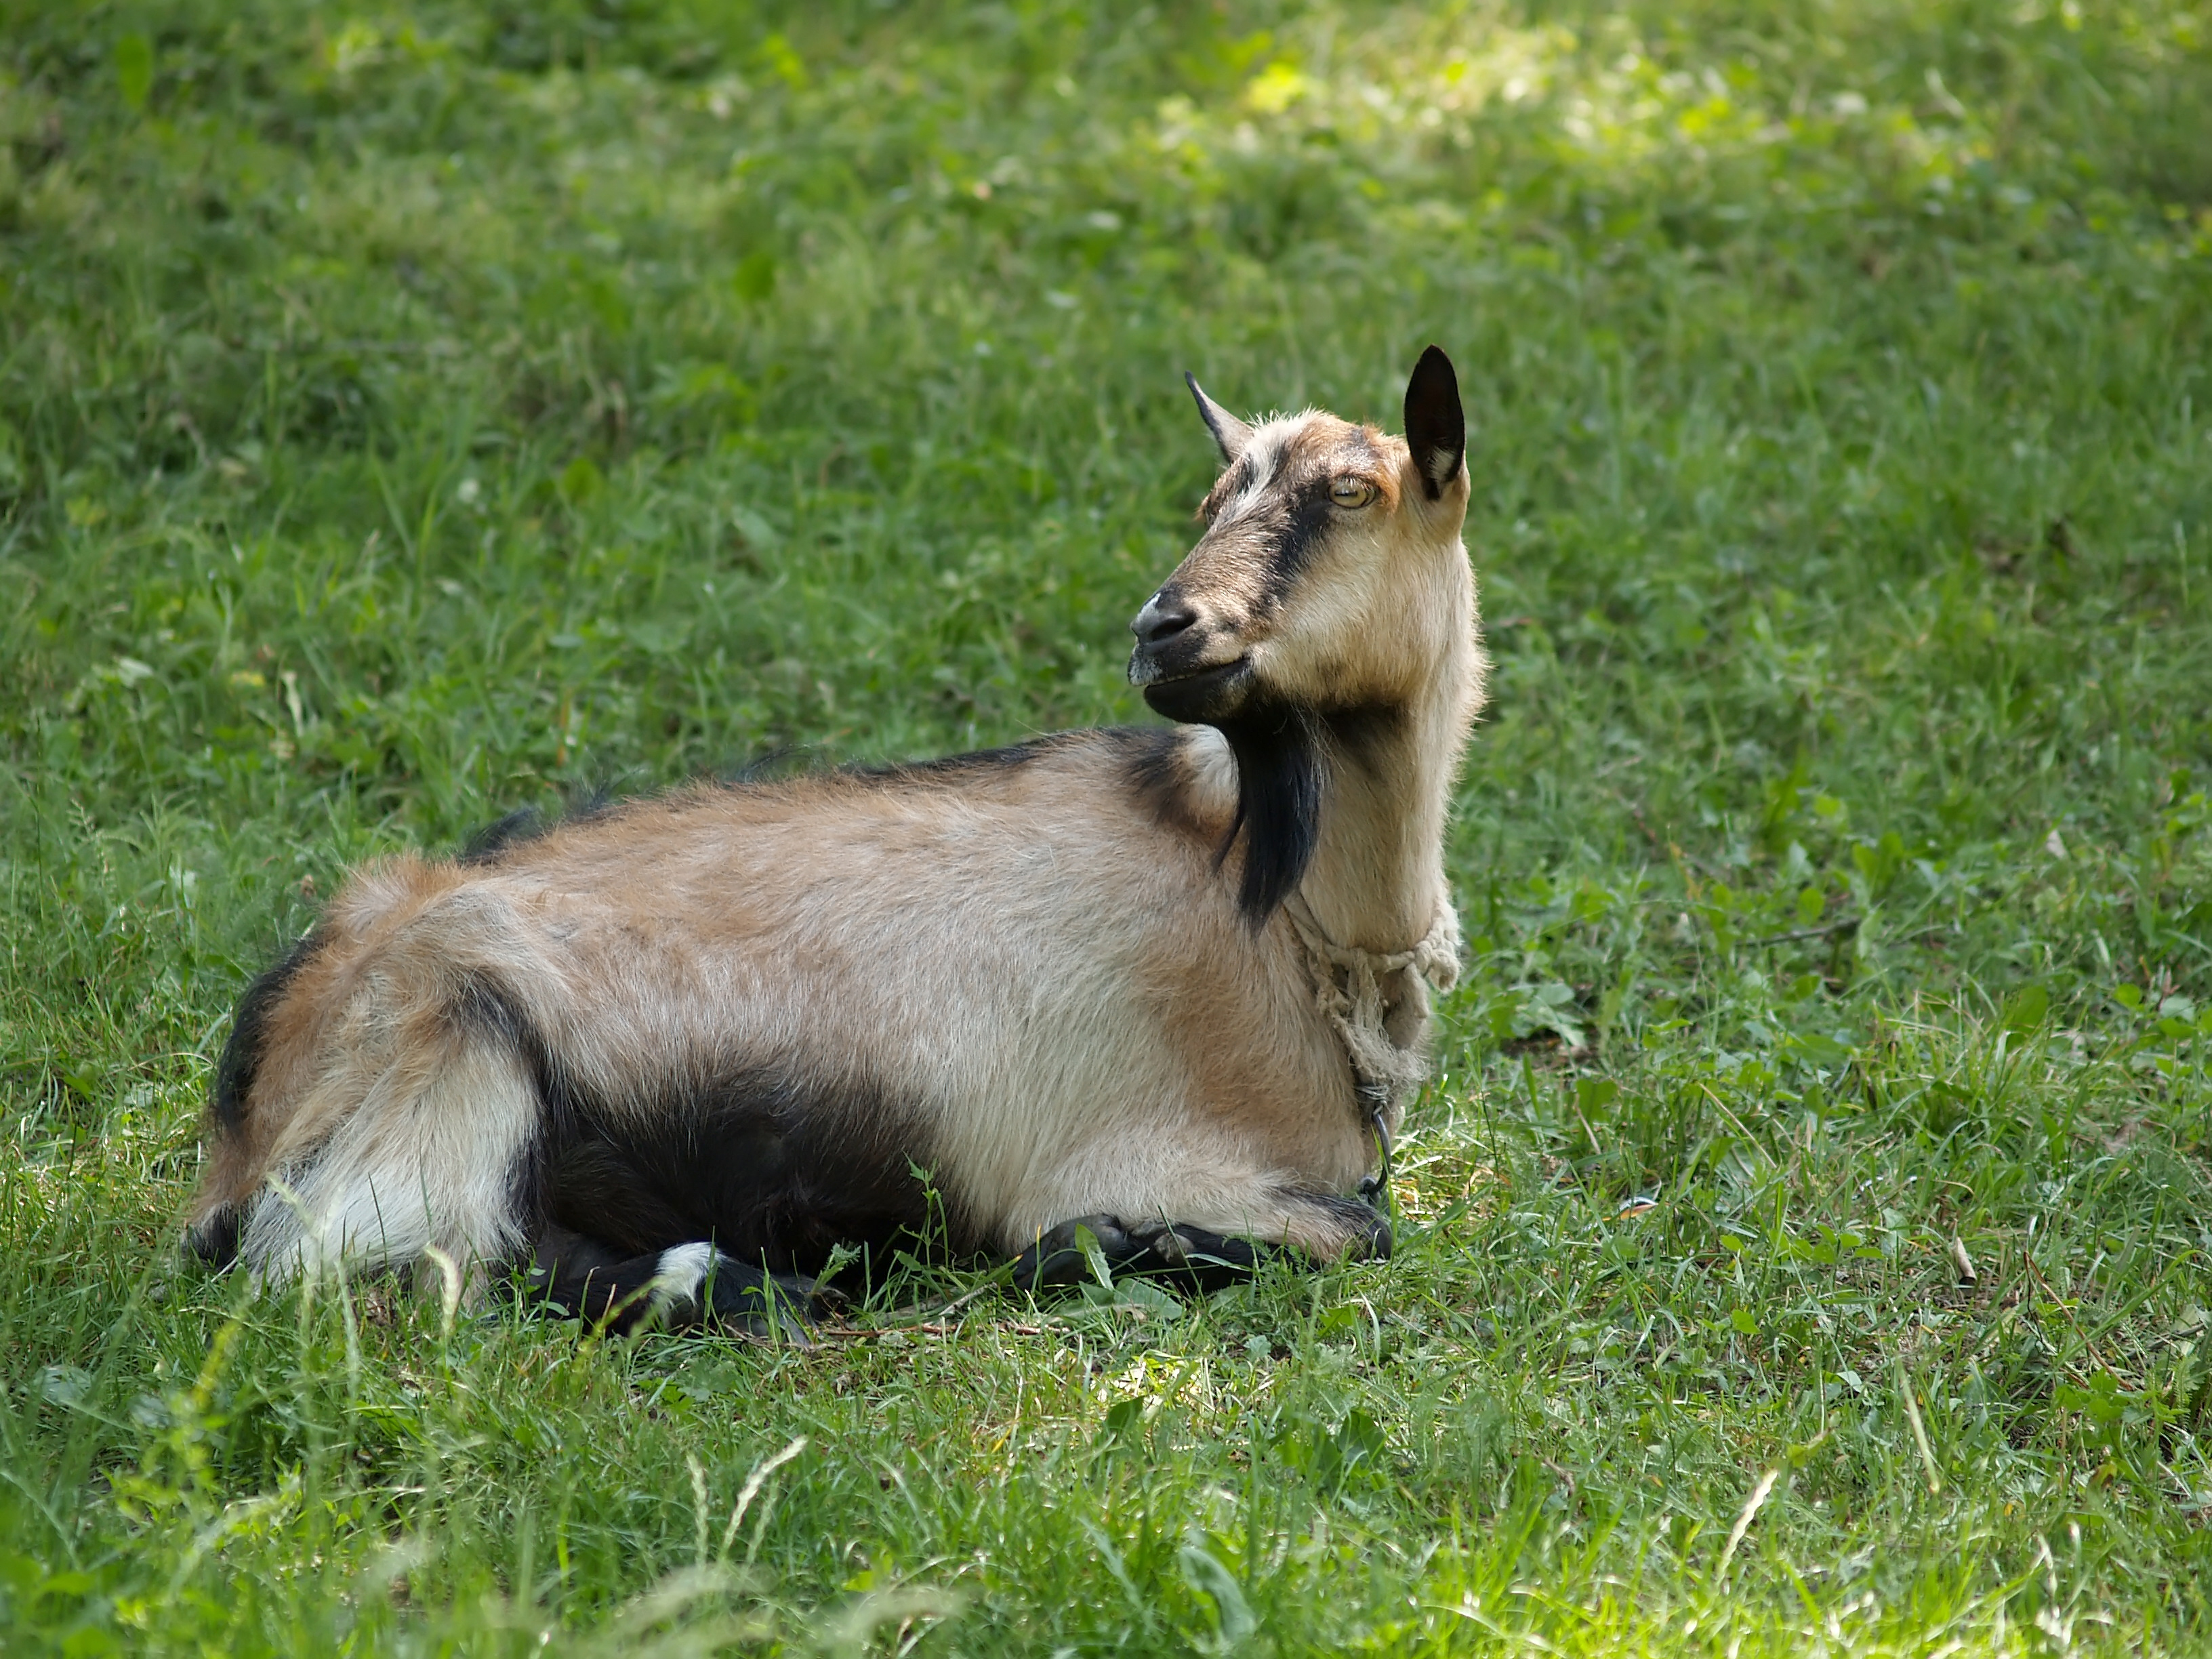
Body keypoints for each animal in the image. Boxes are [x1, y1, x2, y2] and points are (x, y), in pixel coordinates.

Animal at [190, 351, 1486, 1336]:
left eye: (1354, 493)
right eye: (1214, 501)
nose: (1164, 629)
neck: (1292, 918)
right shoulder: (1134, 1153)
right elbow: (1358, 1230)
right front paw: (1095, 1243)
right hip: (460, 1055)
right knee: (418, 1263)